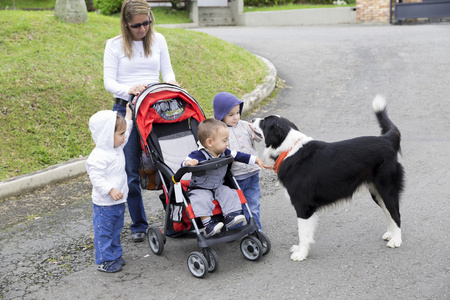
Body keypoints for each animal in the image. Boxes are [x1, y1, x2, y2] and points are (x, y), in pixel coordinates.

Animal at [253, 95, 404, 260]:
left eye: (264, 122)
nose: (252, 119)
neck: (289, 149)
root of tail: (387, 139)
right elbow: (305, 233)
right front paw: (300, 249)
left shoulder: (302, 205)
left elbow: (302, 233)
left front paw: (301, 253)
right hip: (376, 192)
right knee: (388, 212)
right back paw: (390, 234)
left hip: (387, 188)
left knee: (396, 214)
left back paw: (396, 240)